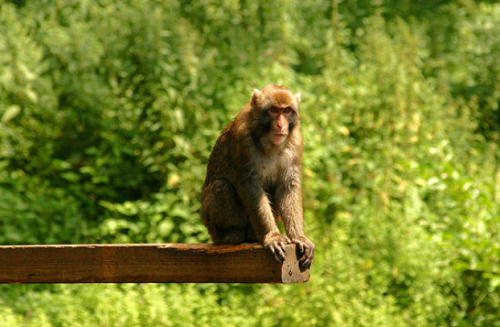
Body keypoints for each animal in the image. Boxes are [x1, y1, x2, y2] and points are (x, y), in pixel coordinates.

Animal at [201, 84, 314, 270]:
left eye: (287, 111)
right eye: (274, 110)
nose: (281, 125)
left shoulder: (297, 140)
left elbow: (288, 186)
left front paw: (299, 237)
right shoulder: (243, 139)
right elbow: (250, 185)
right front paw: (272, 236)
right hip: (212, 225)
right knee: (220, 186)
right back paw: (231, 234)